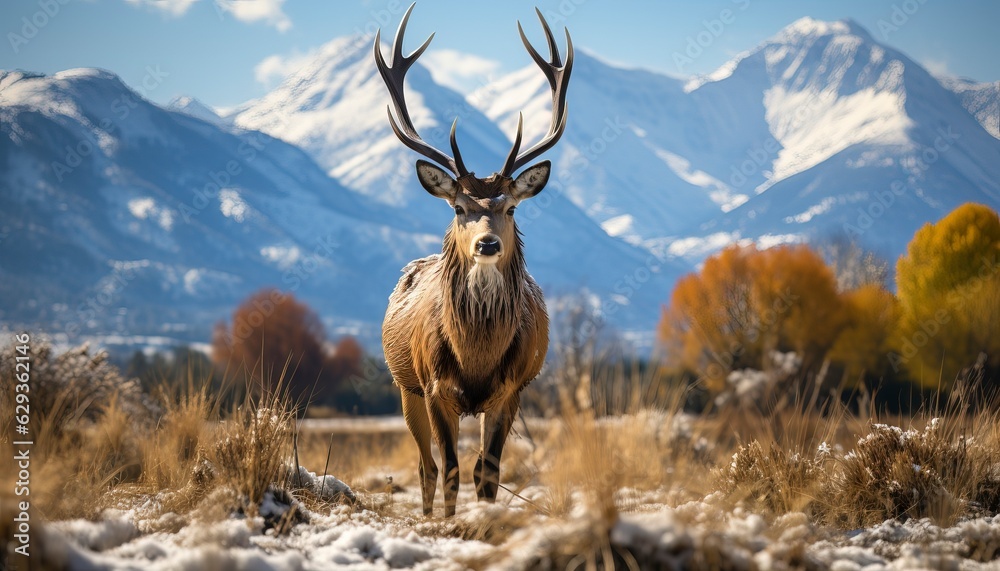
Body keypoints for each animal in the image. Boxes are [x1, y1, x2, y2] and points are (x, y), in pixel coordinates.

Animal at [374, 2, 572, 516]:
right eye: (459, 207)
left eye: (511, 207)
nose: (486, 244)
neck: (476, 356)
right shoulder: (434, 386)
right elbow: (451, 471)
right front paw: (449, 523)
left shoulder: (511, 390)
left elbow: (488, 473)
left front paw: (484, 519)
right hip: (404, 386)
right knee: (425, 466)